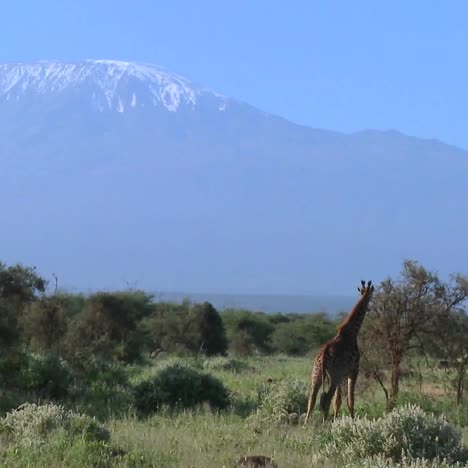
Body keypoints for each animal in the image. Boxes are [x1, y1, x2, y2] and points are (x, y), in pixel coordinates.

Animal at [304, 280, 376, 422]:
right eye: (371, 296)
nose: (371, 308)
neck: (351, 332)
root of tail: (324, 355)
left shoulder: (342, 375)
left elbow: (337, 401)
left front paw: (337, 420)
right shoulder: (353, 371)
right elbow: (350, 400)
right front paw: (352, 420)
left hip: (316, 374)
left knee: (312, 398)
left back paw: (306, 423)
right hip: (333, 376)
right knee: (326, 398)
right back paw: (324, 422)